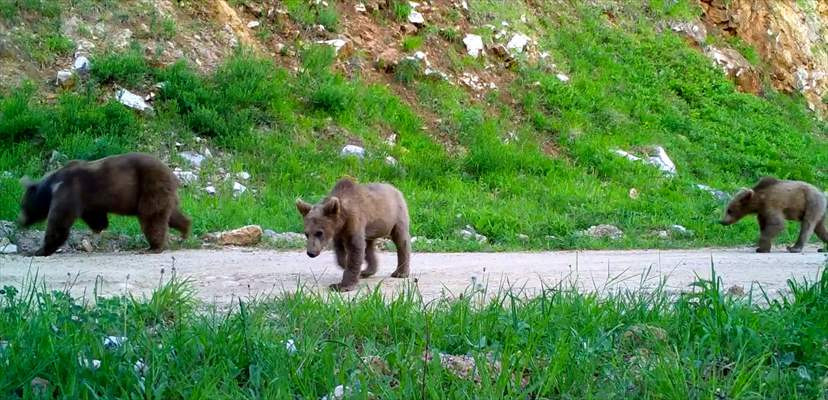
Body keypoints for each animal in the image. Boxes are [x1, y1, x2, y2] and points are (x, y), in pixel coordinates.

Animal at [18, 153, 190, 256]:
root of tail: (174, 176)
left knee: (152, 216)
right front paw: (97, 230)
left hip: (151, 185)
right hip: (163, 192)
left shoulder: (68, 190)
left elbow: (59, 222)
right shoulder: (89, 201)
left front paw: (39, 250)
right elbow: (96, 216)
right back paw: (185, 230)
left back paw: (154, 247)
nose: (20, 222)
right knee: (171, 214)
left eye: (23, 205)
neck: (51, 187)